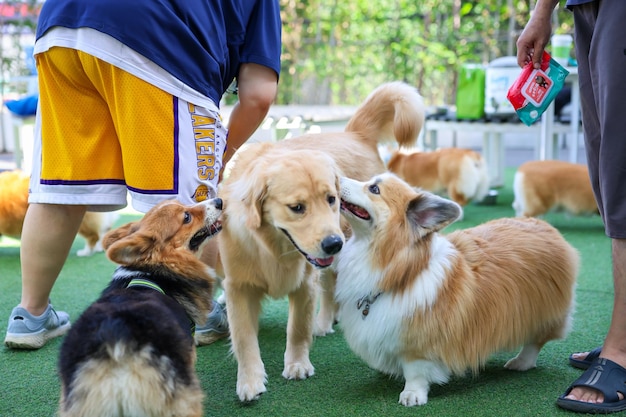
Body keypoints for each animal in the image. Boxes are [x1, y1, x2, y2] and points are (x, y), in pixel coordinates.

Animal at [217, 80, 426, 400]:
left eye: (331, 199)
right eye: (297, 207)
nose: (333, 244)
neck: (274, 247)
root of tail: (353, 133)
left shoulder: (305, 282)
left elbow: (297, 329)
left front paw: (297, 364)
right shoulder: (238, 287)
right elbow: (243, 337)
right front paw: (250, 381)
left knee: (330, 289)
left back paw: (324, 321)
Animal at [336, 172, 576, 406]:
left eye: (374, 189)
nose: (337, 178)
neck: (404, 272)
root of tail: (546, 227)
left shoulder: (418, 345)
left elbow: (415, 372)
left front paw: (412, 394)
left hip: (540, 311)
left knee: (535, 341)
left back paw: (521, 361)